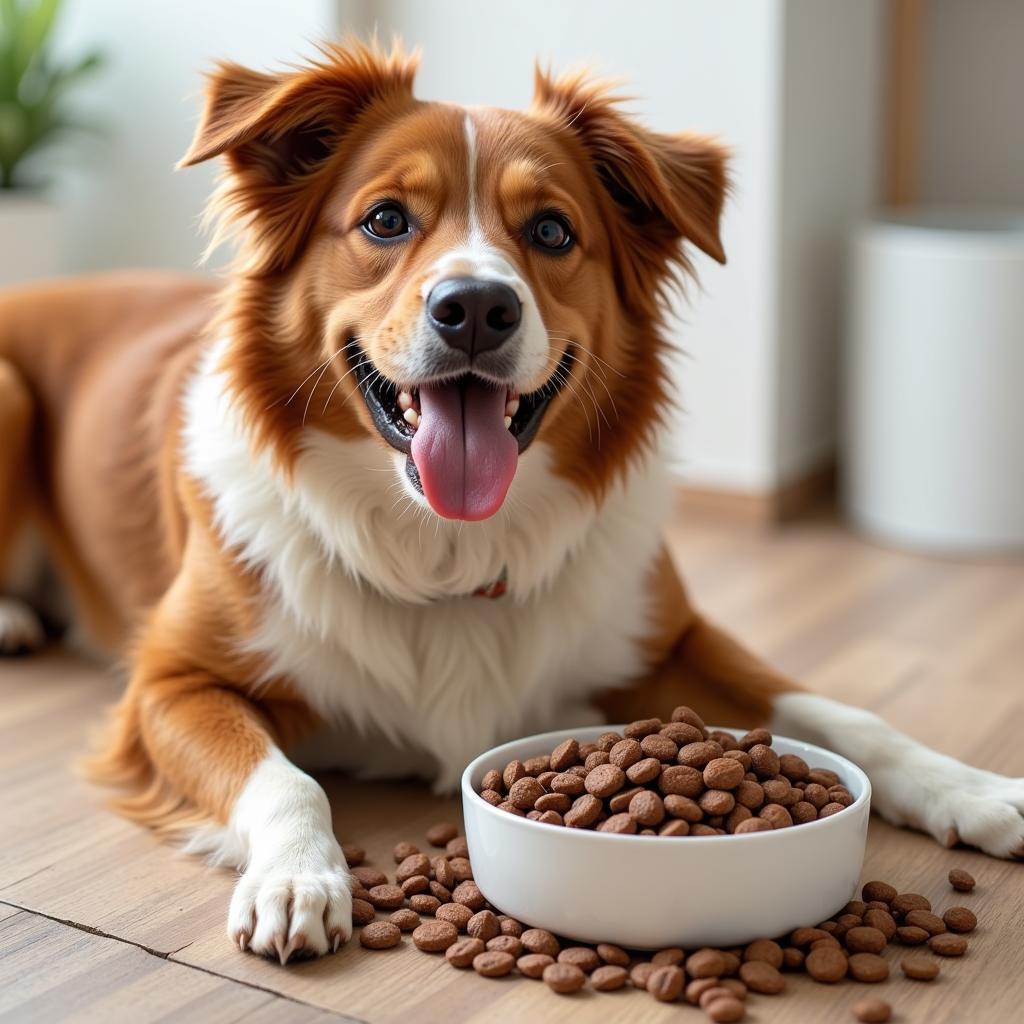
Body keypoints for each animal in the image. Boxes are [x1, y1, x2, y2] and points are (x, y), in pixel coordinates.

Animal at [2, 41, 1024, 966]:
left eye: (553, 233)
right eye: (384, 220)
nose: (475, 309)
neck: (445, 551)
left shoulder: (670, 638)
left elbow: (841, 714)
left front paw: (973, 790)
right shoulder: (169, 683)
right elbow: (288, 783)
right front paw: (298, 878)